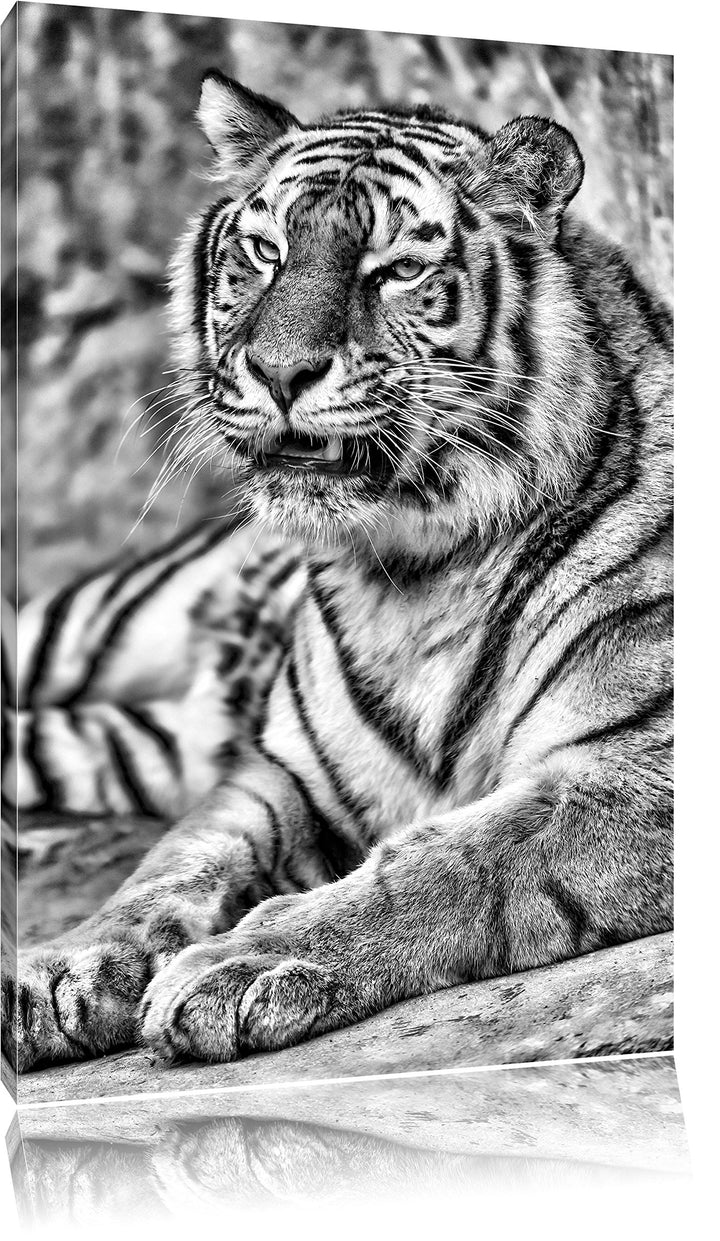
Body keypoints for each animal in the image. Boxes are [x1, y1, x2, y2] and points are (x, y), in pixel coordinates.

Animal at [2, 69, 673, 1074]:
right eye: (264, 252)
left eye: (393, 270)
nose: (279, 372)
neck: (415, 572)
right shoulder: (282, 775)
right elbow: (170, 865)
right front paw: (63, 964)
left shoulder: (640, 767)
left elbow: (450, 858)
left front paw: (241, 963)